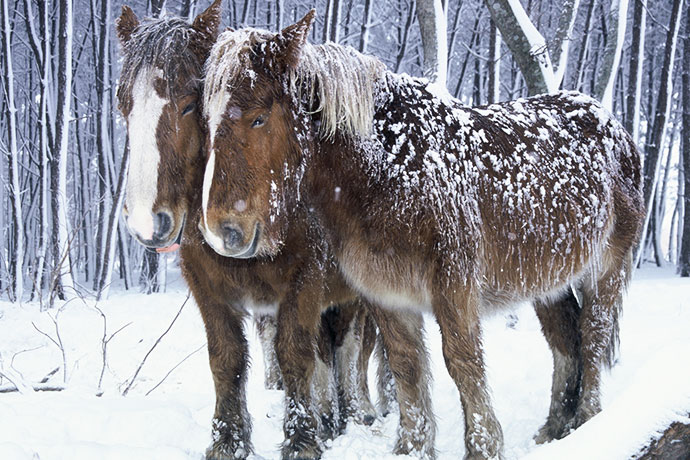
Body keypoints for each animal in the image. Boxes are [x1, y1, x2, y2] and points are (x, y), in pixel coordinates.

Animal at [113, 3, 424, 460]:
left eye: (188, 105)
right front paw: (228, 441)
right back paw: (332, 416)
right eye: (125, 106)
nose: (145, 223)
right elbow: (227, 358)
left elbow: (295, 356)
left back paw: (359, 410)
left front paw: (301, 441)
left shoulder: (304, 283)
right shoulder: (208, 287)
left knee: (352, 347)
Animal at [200, 10, 644, 460]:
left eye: (258, 117)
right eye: (207, 122)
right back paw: (556, 426)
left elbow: (463, 362)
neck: (390, 169)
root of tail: (616, 128)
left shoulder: (454, 285)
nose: (224, 231)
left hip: (606, 268)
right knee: (564, 340)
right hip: (549, 282)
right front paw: (413, 447)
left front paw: (483, 447)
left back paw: (588, 420)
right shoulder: (385, 294)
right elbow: (406, 368)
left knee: (593, 335)